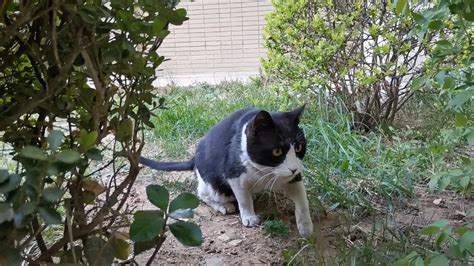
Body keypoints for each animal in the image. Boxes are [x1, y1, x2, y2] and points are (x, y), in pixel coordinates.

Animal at [139, 104, 312, 237]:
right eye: (277, 151)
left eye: (299, 147)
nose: (293, 168)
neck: (265, 171)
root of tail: (194, 159)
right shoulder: (234, 176)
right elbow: (243, 199)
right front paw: (249, 217)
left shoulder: (294, 178)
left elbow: (303, 200)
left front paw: (306, 226)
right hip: (212, 184)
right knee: (202, 194)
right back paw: (223, 206)